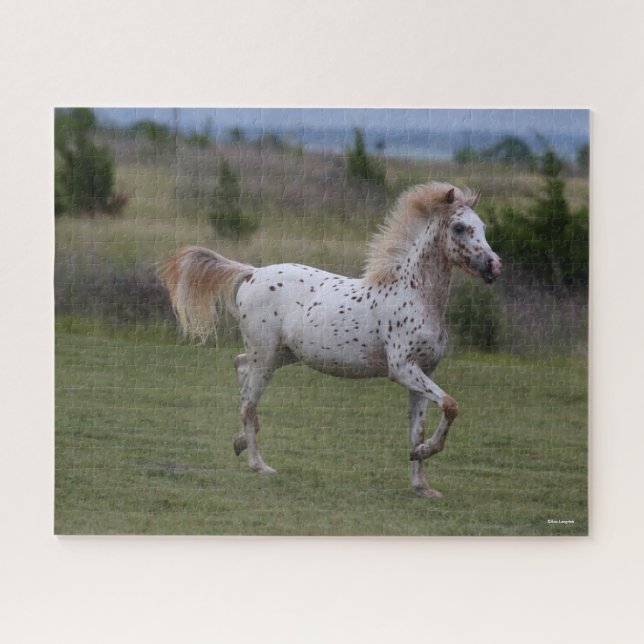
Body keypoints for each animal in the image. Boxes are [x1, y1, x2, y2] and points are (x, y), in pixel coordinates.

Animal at [161, 182, 501, 497]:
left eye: (483, 227)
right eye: (459, 227)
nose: (494, 266)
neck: (414, 294)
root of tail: (252, 273)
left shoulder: (424, 372)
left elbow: (418, 429)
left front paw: (422, 484)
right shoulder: (403, 369)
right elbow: (451, 405)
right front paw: (423, 458)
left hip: (281, 355)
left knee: (240, 370)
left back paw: (240, 442)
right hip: (266, 356)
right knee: (248, 402)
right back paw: (259, 465)